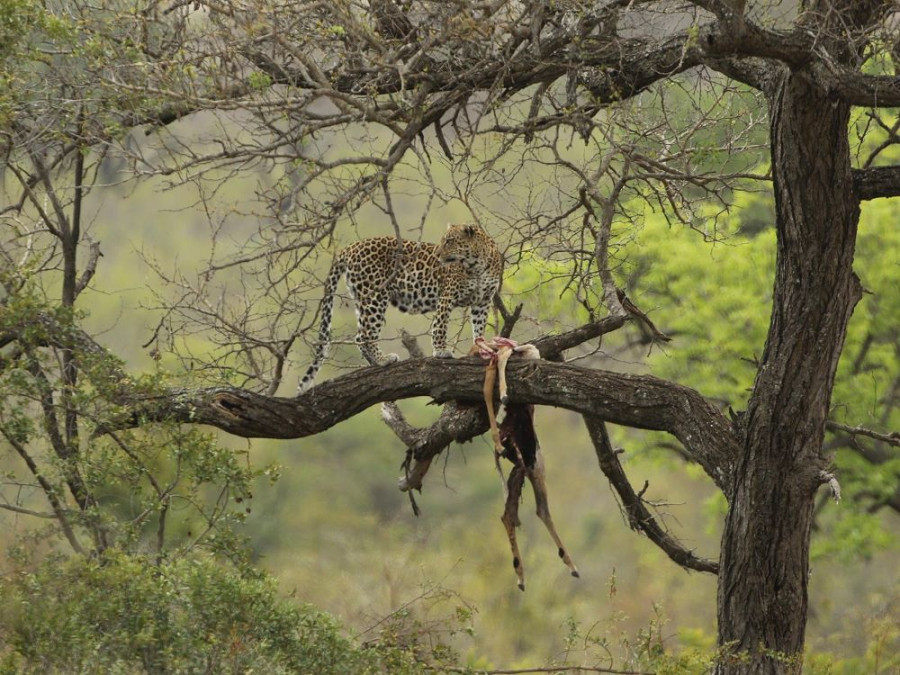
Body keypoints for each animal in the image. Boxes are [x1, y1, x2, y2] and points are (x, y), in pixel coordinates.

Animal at [298, 224, 502, 394]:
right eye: (444, 240)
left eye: (450, 241)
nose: (437, 254)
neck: (477, 265)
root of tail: (351, 247)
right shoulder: (447, 297)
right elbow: (440, 326)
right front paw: (441, 351)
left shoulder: (483, 302)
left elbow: (479, 327)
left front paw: (480, 348)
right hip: (375, 296)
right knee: (365, 334)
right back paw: (383, 360)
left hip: (361, 298)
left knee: (359, 335)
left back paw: (374, 362)